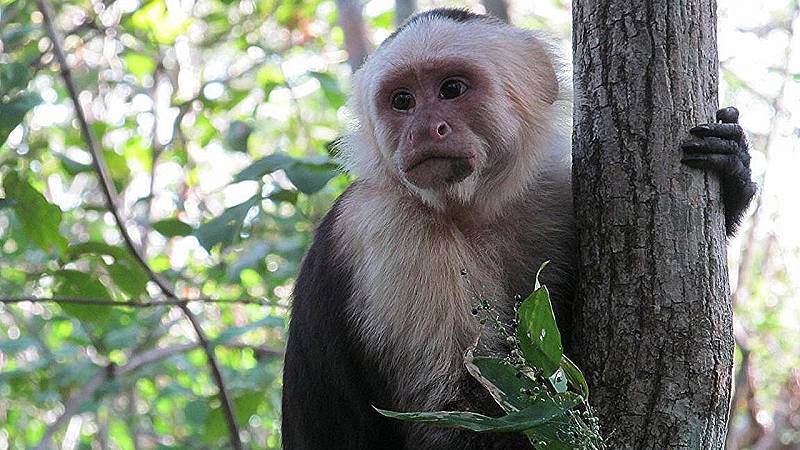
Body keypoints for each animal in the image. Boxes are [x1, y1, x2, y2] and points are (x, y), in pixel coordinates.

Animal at [282, 7, 756, 450]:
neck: (474, 212)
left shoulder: (556, 190)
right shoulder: (387, 229)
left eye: (451, 89)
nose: (423, 130)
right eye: (402, 100)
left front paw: (734, 172)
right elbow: (455, 413)